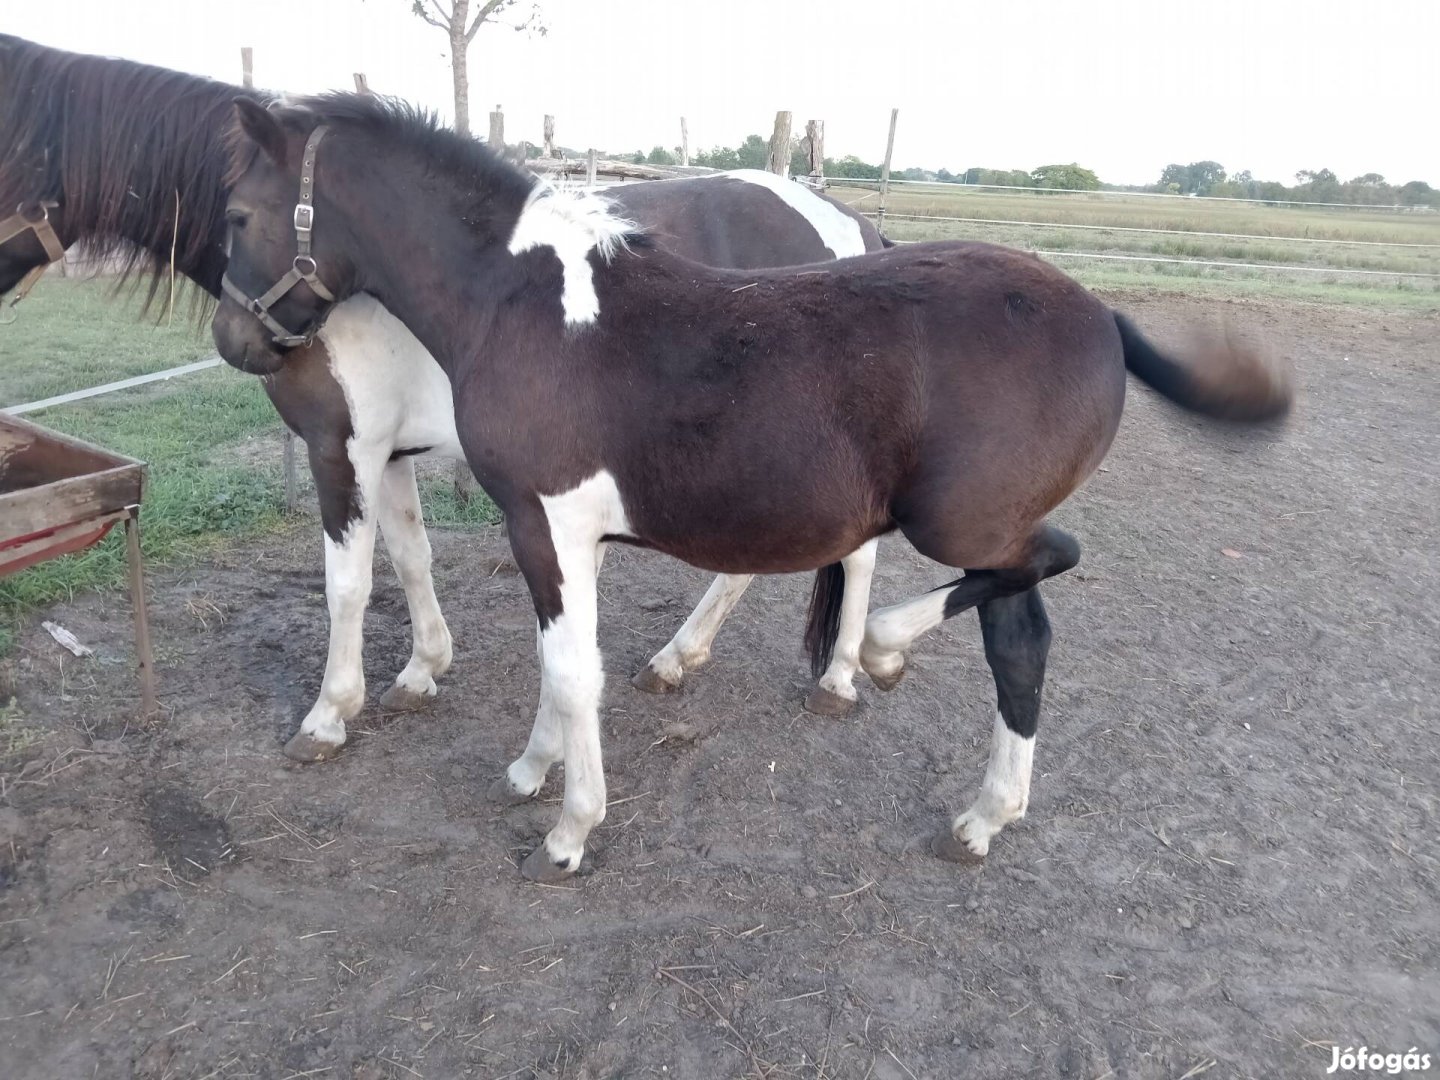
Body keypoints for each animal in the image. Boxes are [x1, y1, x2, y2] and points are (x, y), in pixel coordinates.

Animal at [0, 31, 887, 760]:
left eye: (240, 215)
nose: (235, 340)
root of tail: (848, 221)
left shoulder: (340, 448)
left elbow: (348, 580)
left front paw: (330, 713)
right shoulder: (389, 451)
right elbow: (410, 554)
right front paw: (422, 670)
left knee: (849, 551)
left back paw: (833, 675)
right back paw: (684, 660)